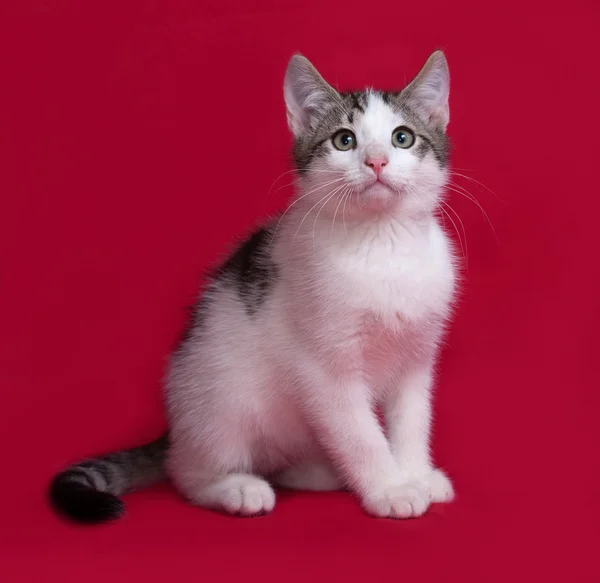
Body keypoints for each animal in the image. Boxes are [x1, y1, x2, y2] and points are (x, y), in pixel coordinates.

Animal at [51, 52, 458, 524]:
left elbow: (412, 420)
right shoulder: (325, 367)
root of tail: (176, 428)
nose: (376, 162)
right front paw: (391, 489)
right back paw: (236, 488)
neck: (382, 243)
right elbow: (360, 434)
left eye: (402, 137)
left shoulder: (417, 355)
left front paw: (416, 474)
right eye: (344, 140)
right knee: (186, 470)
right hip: (219, 395)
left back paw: (317, 472)